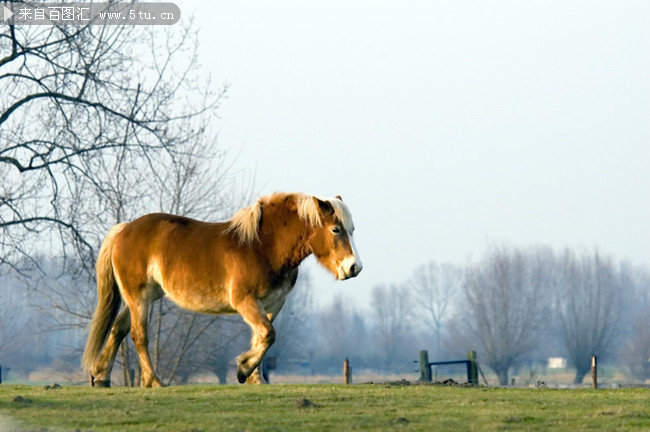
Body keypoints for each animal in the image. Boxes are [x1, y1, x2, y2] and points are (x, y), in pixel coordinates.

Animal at [82, 191, 360, 386]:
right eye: (335, 229)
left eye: (352, 229)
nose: (354, 267)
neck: (264, 246)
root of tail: (124, 229)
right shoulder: (245, 301)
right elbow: (268, 335)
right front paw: (243, 368)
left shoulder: (272, 304)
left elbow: (261, 337)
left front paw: (254, 378)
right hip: (139, 296)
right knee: (139, 336)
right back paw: (154, 381)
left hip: (144, 297)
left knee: (118, 329)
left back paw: (102, 377)